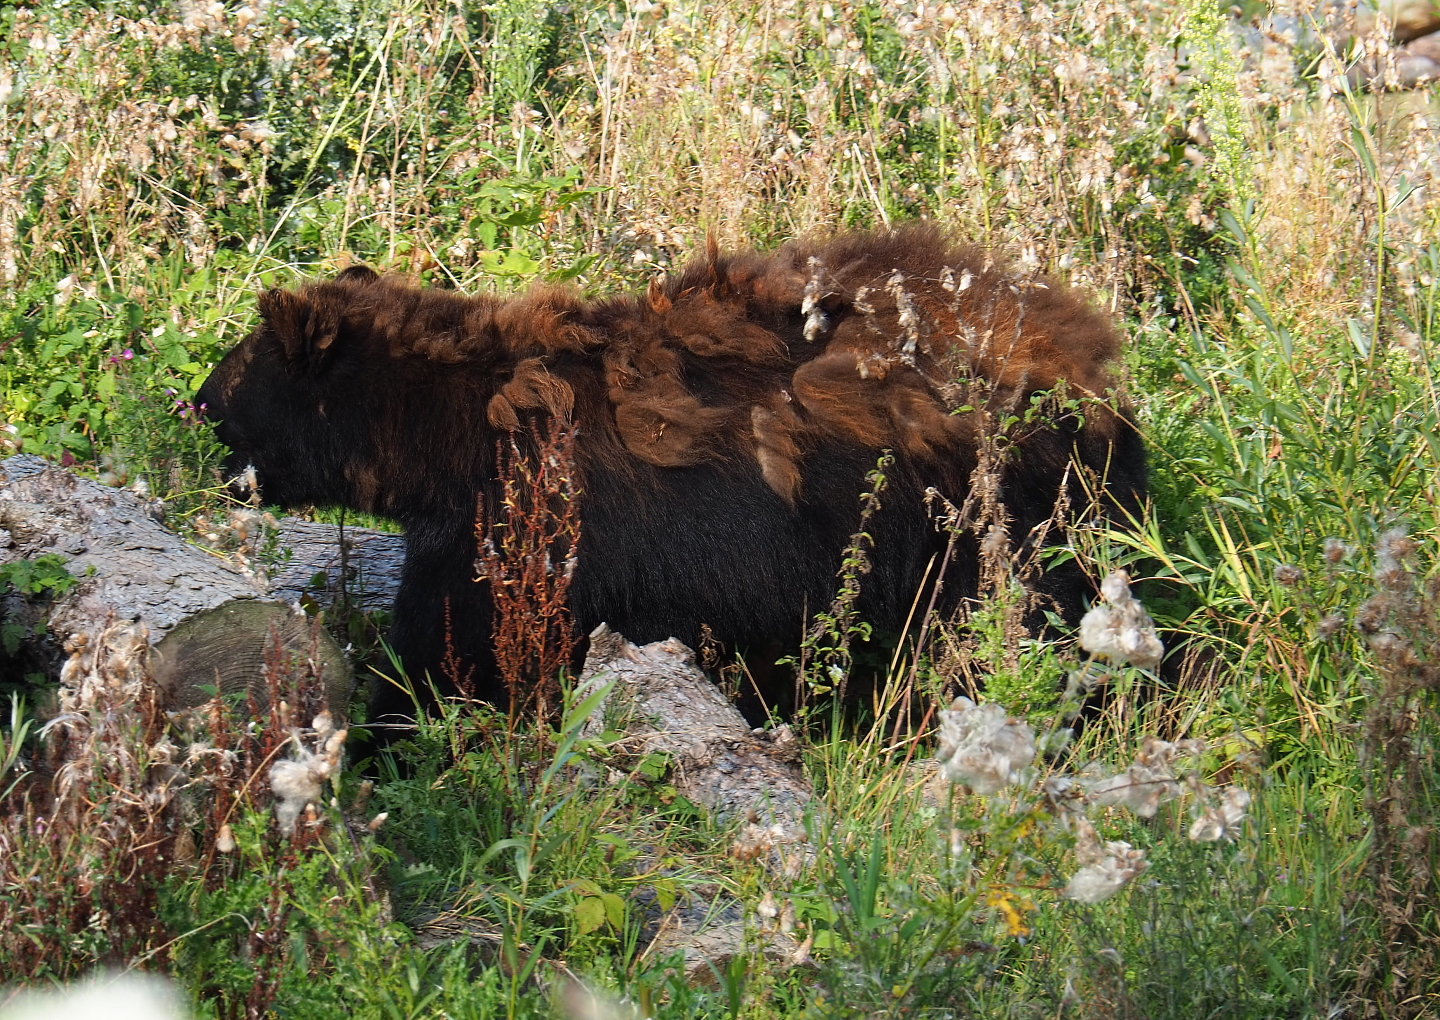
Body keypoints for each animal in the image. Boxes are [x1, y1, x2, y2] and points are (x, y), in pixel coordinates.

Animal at [196, 224, 1146, 727]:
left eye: (233, 369)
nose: (193, 402)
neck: (446, 428)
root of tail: (1096, 368)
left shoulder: (521, 522)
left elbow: (457, 643)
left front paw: (397, 721)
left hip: (990, 523)